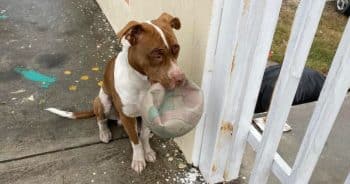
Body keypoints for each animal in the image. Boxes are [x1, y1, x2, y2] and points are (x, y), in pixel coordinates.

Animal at [46, 13, 186, 174]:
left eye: (177, 48)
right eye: (157, 53)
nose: (181, 79)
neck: (143, 83)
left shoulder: (148, 113)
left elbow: (143, 136)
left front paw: (148, 151)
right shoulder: (126, 116)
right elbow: (135, 142)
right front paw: (138, 159)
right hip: (103, 101)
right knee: (101, 119)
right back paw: (104, 133)